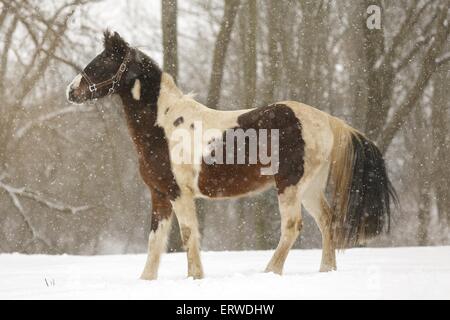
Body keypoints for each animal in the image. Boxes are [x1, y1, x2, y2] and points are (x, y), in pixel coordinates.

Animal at [67, 31, 398, 278]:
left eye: (102, 62)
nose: (71, 91)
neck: (165, 125)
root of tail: (328, 120)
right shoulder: (160, 195)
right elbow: (155, 243)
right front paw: (147, 280)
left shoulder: (179, 194)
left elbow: (188, 235)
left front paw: (195, 277)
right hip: (310, 188)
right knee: (327, 221)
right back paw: (326, 270)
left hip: (289, 186)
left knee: (292, 226)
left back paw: (270, 272)